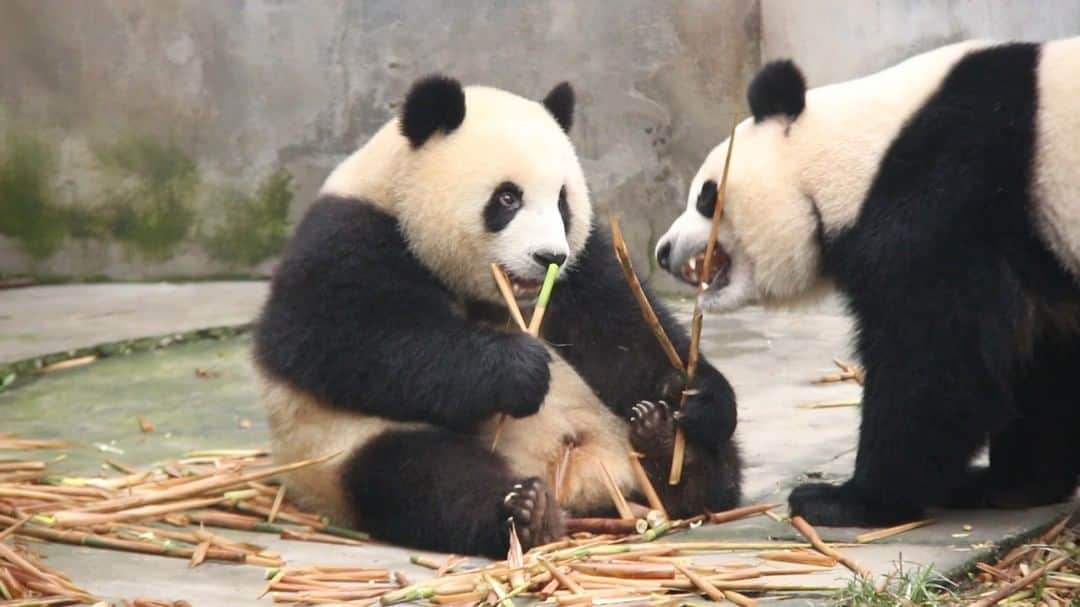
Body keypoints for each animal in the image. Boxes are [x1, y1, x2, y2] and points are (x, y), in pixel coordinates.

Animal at [253, 75, 742, 557]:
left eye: (562, 201)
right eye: (507, 198)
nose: (549, 257)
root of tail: (581, 485)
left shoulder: (582, 266)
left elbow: (622, 330)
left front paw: (694, 393)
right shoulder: (348, 236)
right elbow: (346, 341)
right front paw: (518, 368)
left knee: (722, 468)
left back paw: (673, 453)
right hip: (340, 450)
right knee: (422, 476)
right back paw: (524, 513)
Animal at [655, 38, 1080, 527]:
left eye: (707, 197)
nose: (663, 251)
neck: (863, 155)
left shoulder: (947, 197)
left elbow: (936, 360)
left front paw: (847, 499)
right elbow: (1043, 358)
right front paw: (1012, 484)